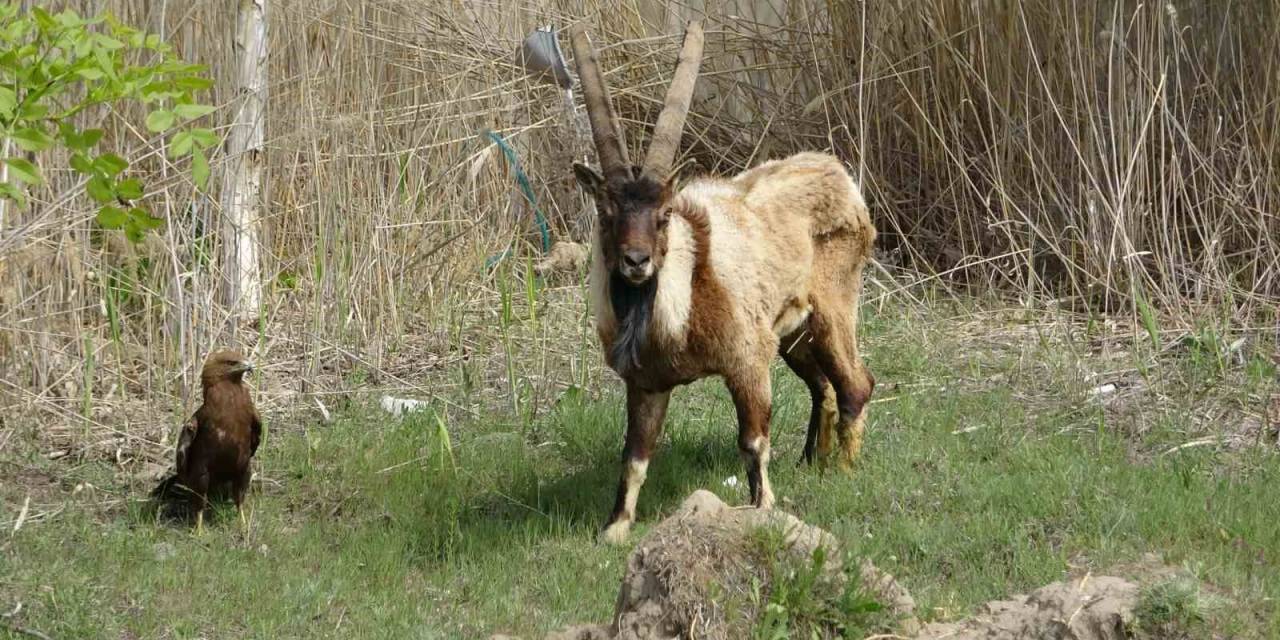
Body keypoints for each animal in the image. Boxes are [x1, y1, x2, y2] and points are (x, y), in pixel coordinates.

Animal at [573, 20, 880, 542]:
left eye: (664, 214)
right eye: (607, 213)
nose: (636, 261)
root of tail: (840, 177)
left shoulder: (747, 359)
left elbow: (753, 441)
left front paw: (763, 510)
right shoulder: (647, 383)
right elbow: (634, 457)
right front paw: (614, 529)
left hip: (833, 308)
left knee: (856, 383)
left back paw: (843, 470)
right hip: (793, 334)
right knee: (822, 387)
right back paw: (811, 462)